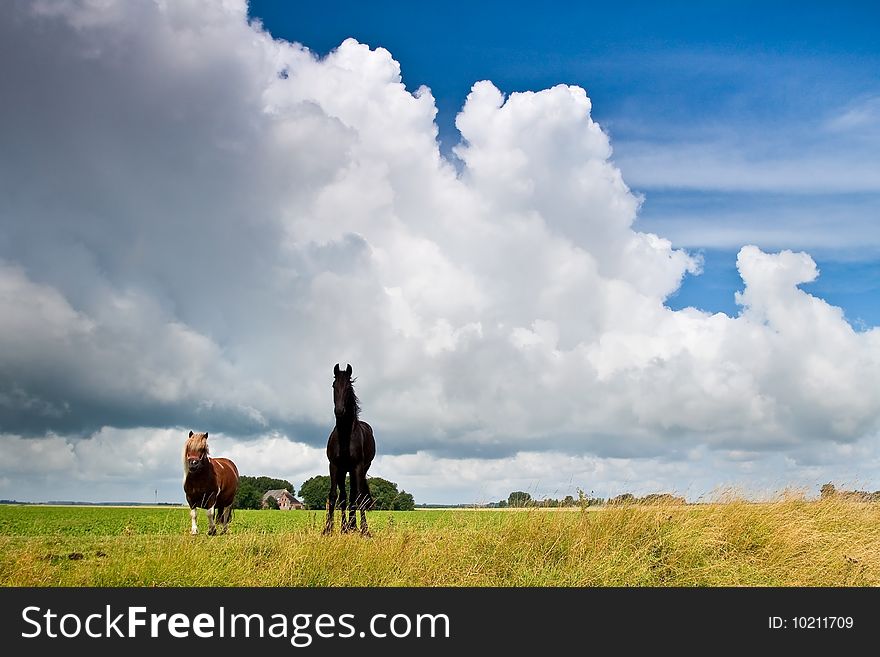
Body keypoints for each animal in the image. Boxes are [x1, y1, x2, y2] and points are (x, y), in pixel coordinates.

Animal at [324, 362, 376, 536]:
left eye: (348, 387)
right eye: (334, 385)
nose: (339, 411)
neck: (345, 435)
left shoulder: (357, 466)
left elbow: (359, 497)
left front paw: (365, 531)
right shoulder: (334, 466)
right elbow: (335, 496)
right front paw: (328, 529)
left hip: (358, 470)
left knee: (356, 495)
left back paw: (353, 526)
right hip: (343, 470)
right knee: (345, 496)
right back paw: (346, 527)